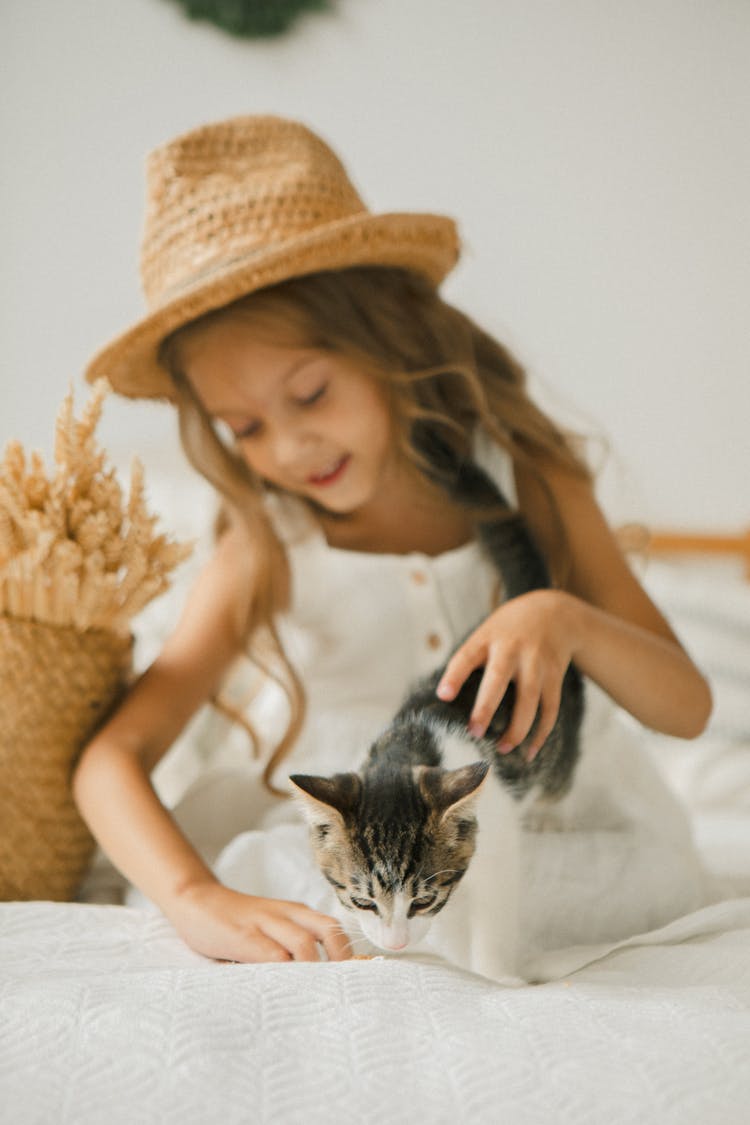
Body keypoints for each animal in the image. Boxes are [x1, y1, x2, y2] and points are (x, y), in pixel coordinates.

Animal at [290, 438, 584, 985]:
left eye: (424, 900)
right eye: (363, 901)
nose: (397, 943)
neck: (409, 749)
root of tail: (516, 612)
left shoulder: (496, 838)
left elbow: (493, 913)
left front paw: (498, 977)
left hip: (559, 719)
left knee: (562, 769)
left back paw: (553, 814)